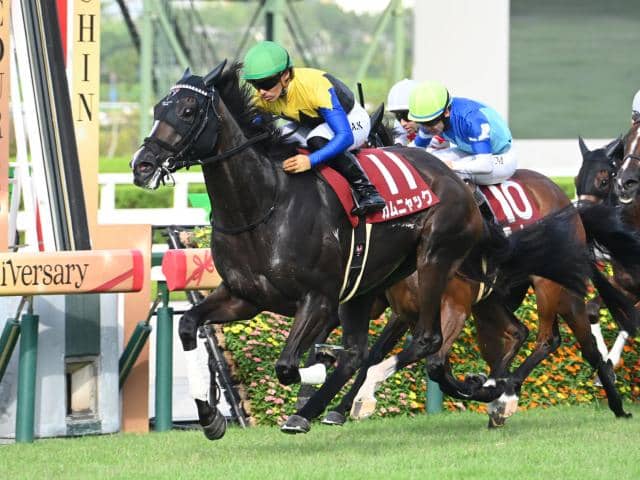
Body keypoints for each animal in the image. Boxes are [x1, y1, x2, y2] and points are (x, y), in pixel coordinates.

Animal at [131, 61, 594, 439]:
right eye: (156, 110)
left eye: (188, 111)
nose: (142, 165)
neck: (264, 206)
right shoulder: (245, 296)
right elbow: (189, 325)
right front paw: (211, 417)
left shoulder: (322, 298)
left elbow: (292, 364)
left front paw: (322, 390)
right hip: (401, 287)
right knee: (499, 335)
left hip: (455, 268)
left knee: (464, 340)